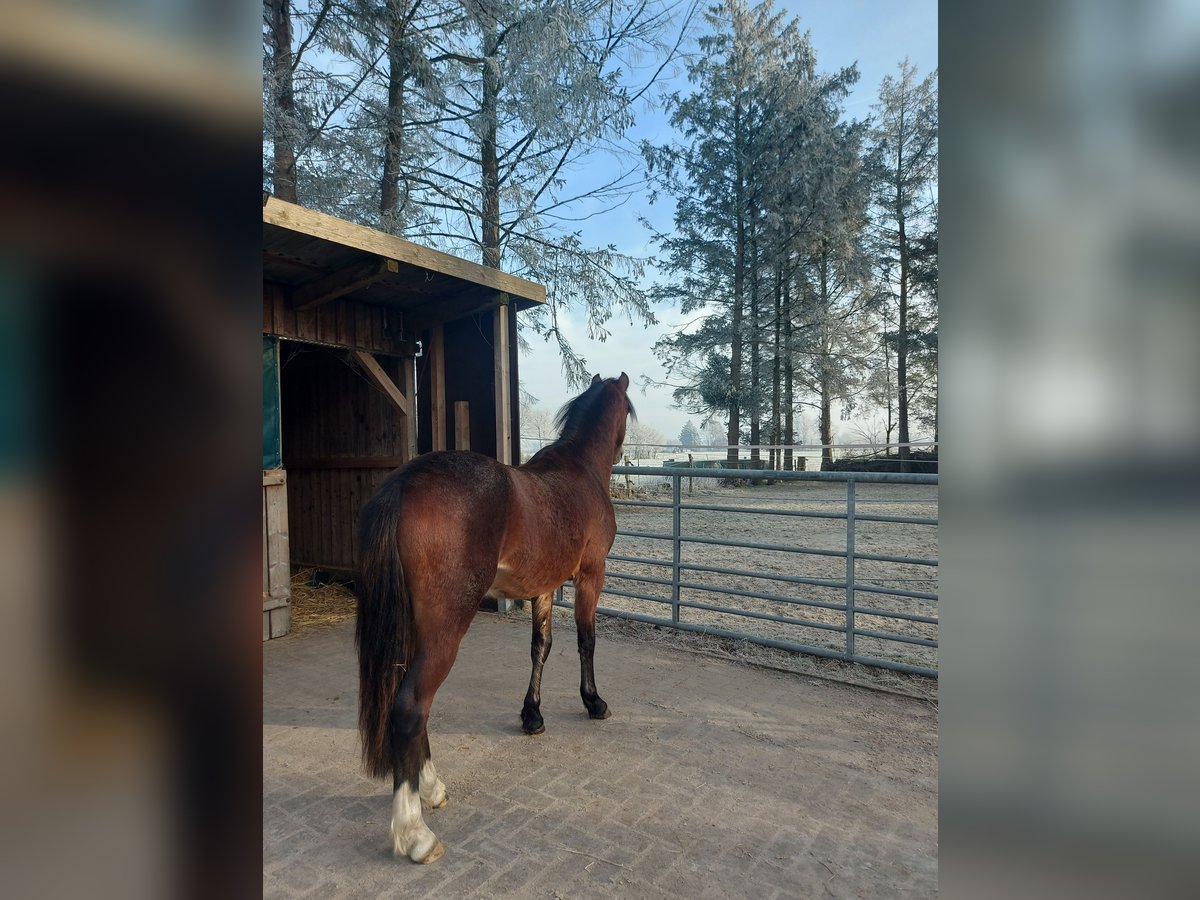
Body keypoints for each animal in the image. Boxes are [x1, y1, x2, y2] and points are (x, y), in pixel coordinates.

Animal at [355, 372, 638, 859]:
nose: (626, 453)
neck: (579, 471)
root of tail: (404, 483)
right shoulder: (591, 576)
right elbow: (586, 640)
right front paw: (593, 702)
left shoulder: (543, 588)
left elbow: (541, 647)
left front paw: (532, 716)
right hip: (445, 630)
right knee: (411, 707)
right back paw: (415, 833)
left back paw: (432, 789)